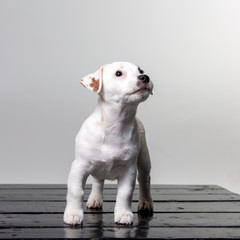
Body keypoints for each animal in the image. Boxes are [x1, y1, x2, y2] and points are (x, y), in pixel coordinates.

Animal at [63, 61, 154, 225]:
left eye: (141, 71)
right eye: (118, 73)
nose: (145, 77)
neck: (116, 123)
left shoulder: (128, 171)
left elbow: (125, 194)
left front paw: (123, 214)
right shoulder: (79, 167)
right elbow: (76, 191)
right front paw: (73, 214)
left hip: (144, 158)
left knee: (144, 179)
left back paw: (146, 202)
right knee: (98, 181)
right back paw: (95, 199)